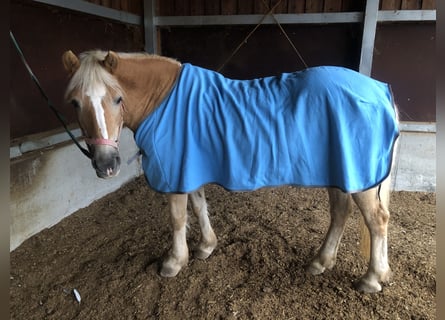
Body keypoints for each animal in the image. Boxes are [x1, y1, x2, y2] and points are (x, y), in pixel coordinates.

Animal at [60, 50, 398, 292]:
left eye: (118, 99)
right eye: (75, 103)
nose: (106, 164)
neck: (165, 101)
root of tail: (381, 91)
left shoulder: (175, 171)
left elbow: (177, 218)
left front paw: (173, 262)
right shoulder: (189, 167)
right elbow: (199, 206)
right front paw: (206, 247)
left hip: (360, 178)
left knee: (377, 220)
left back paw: (372, 279)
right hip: (341, 173)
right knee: (340, 213)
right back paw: (320, 262)